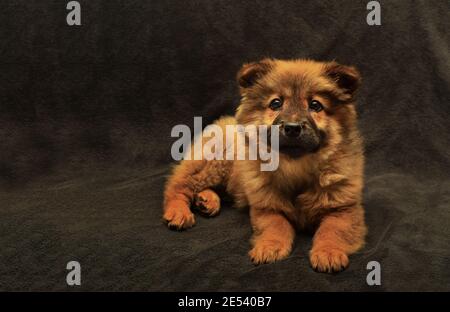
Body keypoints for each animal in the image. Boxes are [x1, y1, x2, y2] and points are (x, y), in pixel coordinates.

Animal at [163, 58, 368, 272]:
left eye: (315, 105)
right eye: (276, 103)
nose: (292, 128)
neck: (296, 166)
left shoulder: (344, 209)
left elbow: (332, 230)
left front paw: (328, 252)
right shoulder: (266, 207)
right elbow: (276, 225)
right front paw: (269, 247)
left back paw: (207, 200)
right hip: (213, 162)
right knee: (177, 186)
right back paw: (179, 212)